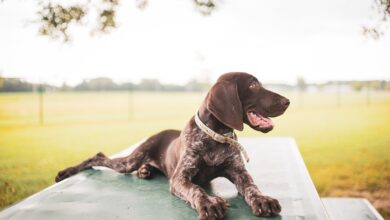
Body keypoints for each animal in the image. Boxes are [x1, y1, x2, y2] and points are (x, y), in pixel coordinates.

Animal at [54, 72, 290, 218]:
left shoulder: (239, 172)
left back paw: (146, 170)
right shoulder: (180, 178)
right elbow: (196, 189)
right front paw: (209, 203)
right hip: (130, 161)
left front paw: (263, 200)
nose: (287, 101)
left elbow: (252, 187)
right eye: (253, 85)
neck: (216, 137)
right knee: (100, 156)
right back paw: (67, 171)